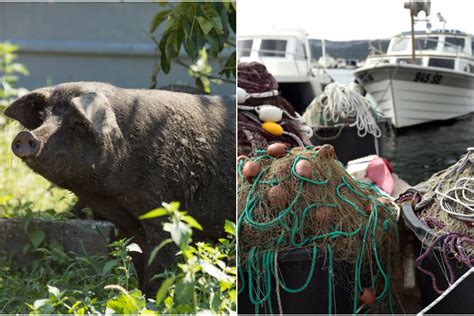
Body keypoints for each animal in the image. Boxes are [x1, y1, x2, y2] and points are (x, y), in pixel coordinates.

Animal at [5, 81, 237, 294]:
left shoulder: (165, 212)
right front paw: (140, 296)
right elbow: (139, 262)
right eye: (42, 117)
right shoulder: (128, 224)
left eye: (78, 122)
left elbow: (159, 268)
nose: (26, 135)